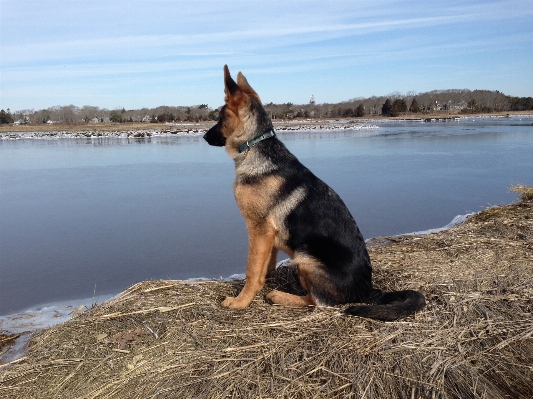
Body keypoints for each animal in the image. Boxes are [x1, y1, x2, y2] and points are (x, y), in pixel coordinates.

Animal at [202, 65, 426, 322]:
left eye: (221, 117)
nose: (204, 137)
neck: (255, 146)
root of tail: (367, 291)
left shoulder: (258, 229)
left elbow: (252, 270)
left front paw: (241, 301)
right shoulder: (268, 235)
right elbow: (266, 265)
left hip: (305, 257)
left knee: (316, 301)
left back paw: (280, 296)